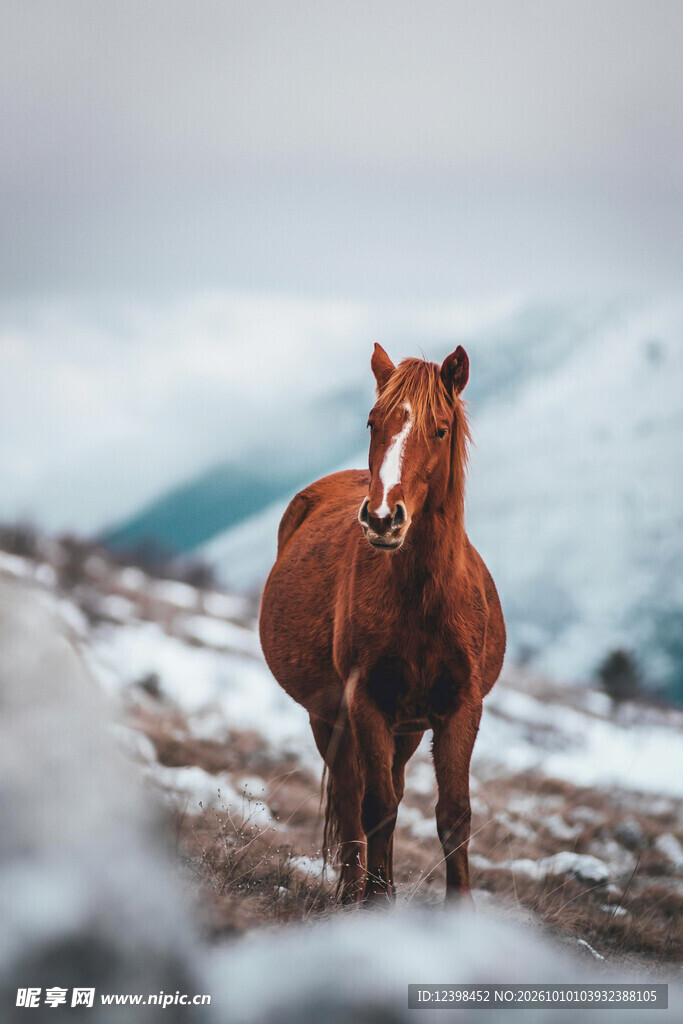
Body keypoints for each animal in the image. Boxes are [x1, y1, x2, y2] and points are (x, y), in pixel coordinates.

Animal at [259, 343, 506, 903]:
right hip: (329, 716)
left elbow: (453, 815)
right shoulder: (365, 701)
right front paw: (372, 903)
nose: (381, 519)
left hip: (408, 727)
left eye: (440, 429)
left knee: (389, 784)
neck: (424, 600)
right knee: (354, 797)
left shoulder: (460, 707)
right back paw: (356, 891)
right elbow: (375, 808)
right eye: (373, 422)